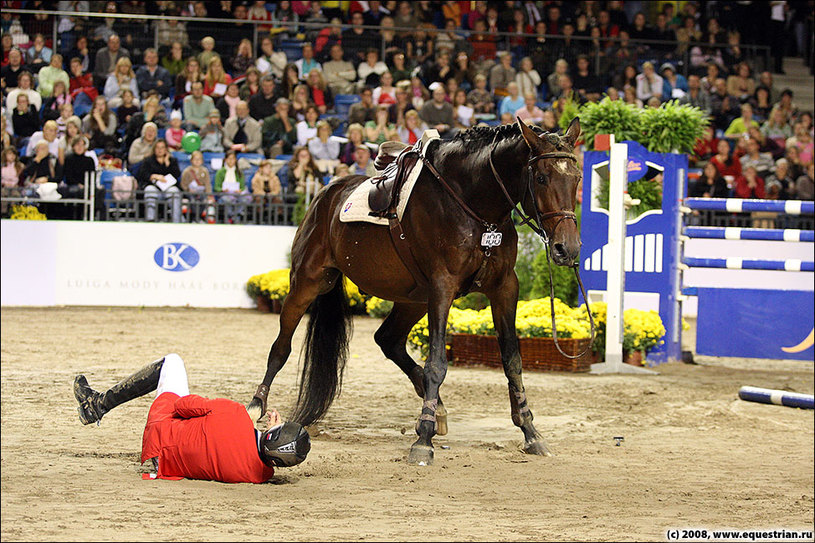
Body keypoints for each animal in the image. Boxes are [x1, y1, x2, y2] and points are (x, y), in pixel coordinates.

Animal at [245, 117, 584, 466]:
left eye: (577, 178)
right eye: (541, 177)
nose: (567, 248)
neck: (473, 204)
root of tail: (327, 193)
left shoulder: (504, 287)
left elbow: (512, 360)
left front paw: (530, 432)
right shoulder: (443, 286)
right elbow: (437, 363)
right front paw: (423, 439)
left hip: (413, 299)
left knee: (388, 339)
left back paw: (438, 408)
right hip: (308, 282)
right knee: (280, 347)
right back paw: (256, 404)